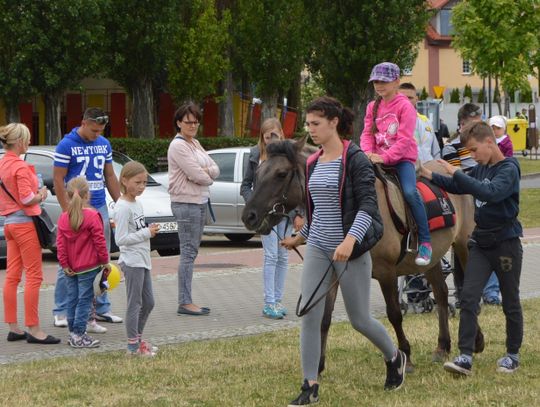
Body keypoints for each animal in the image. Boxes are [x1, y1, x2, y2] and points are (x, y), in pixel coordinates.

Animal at [241, 137, 484, 372]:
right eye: (258, 172)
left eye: (281, 174)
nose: (249, 216)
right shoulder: (332, 273)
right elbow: (324, 319)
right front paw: (318, 364)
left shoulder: (387, 273)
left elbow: (394, 314)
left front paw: (406, 357)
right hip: (431, 260)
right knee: (442, 294)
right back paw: (443, 346)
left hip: (463, 245)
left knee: (466, 292)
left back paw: (476, 341)